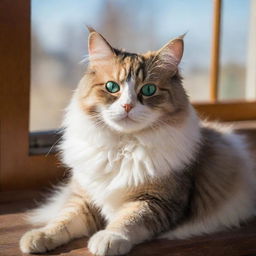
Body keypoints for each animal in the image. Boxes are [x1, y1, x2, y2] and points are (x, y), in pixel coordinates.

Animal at [20, 27, 256, 255]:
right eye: (112, 87)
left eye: (149, 89)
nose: (127, 106)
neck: (122, 148)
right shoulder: (84, 198)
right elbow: (62, 221)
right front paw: (38, 237)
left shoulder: (156, 201)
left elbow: (127, 221)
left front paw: (108, 239)